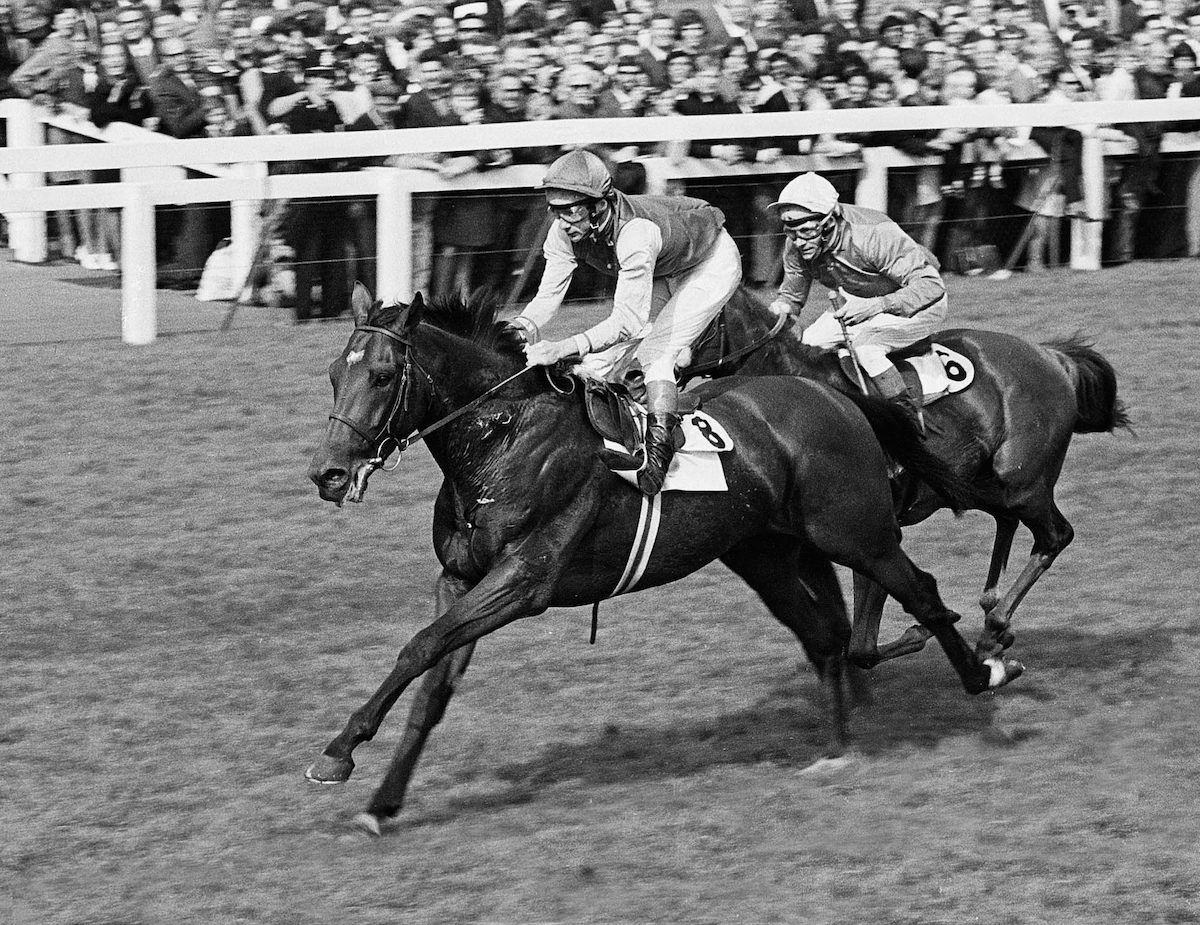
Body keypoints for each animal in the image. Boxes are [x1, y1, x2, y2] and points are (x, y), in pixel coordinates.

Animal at [686, 285, 1132, 667]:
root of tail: (1051, 355)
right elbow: (860, 648)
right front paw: (925, 628)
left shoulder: (875, 534)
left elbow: (863, 643)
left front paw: (928, 627)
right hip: (979, 484)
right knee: (1008, 521)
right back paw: (991, 612)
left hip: (1021, 480)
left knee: (1054, 536)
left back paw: (994, 627)